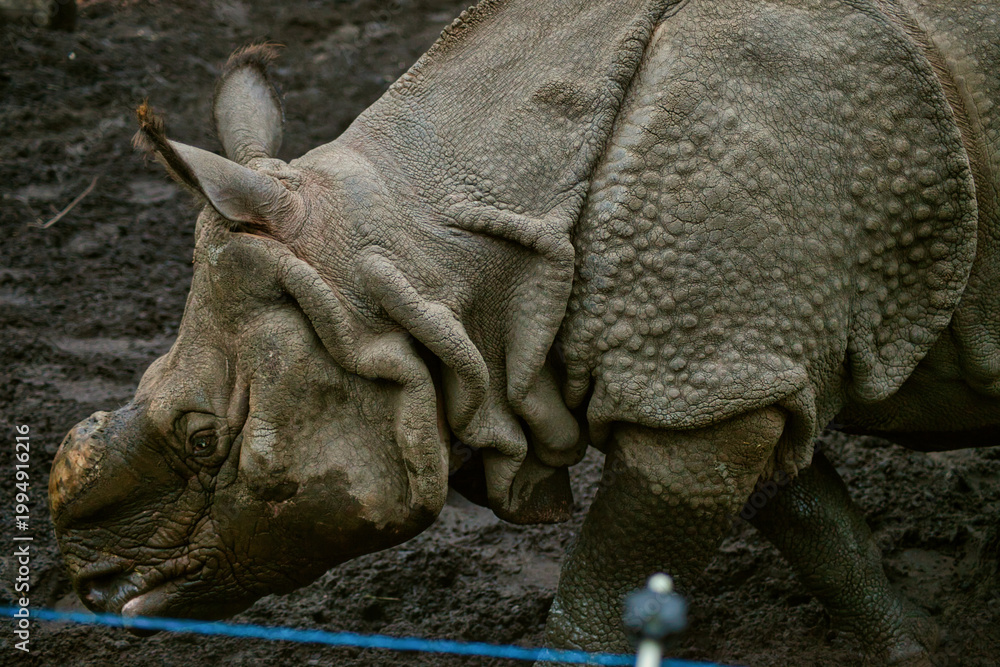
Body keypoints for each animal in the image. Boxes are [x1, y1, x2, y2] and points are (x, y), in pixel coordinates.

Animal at [49, 0, 999, 664]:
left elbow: (607, 586)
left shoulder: (706, 378)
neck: (422, 252)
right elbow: (810, 514)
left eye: (202, 439)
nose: (94, 589)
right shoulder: (732, 367)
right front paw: (913, 646)